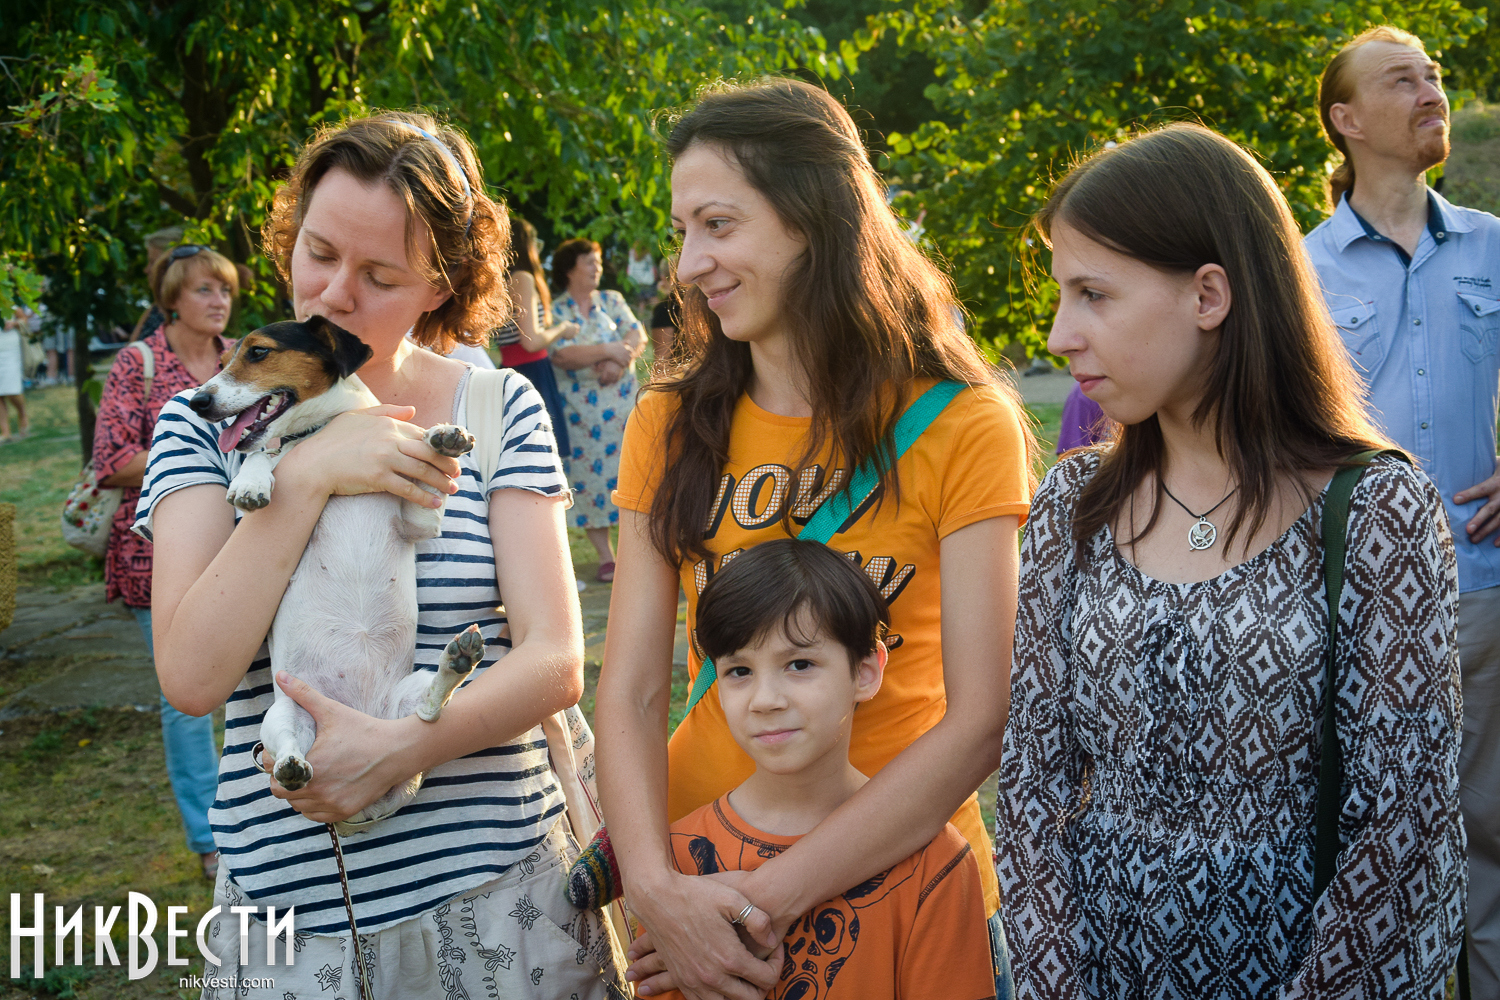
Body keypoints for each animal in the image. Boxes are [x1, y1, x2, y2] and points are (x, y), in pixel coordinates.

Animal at [190, 315, 483, 835]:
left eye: (258, 352)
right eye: (224, 359)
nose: (197, 401)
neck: (321, 430)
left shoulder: (419, 521)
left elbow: (430, 470)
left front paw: (441, 437)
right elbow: (263, 454)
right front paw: (251, 483)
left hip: (404, 700)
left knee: (427, 714)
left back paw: (458, 662)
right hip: (285, 712)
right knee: (290, 751)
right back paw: (291, 766)